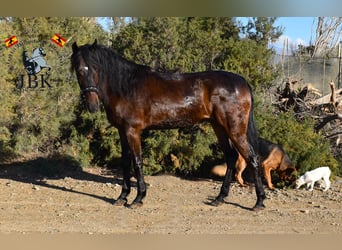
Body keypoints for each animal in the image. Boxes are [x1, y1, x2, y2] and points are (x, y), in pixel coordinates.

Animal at [70, 39, 268, 211]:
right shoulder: (122, 131)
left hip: (235, 129)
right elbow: (125, 163)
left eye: (95, 68)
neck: (126, 86)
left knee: (252, 158)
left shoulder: (133, 131)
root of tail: (242, 82)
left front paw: (138, 198)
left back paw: (259, 202)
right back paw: (220, 198)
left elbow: (137, 162)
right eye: (79, 70)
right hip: (218, 127)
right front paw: (122, 197)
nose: (92, 106)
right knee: (231, 157)